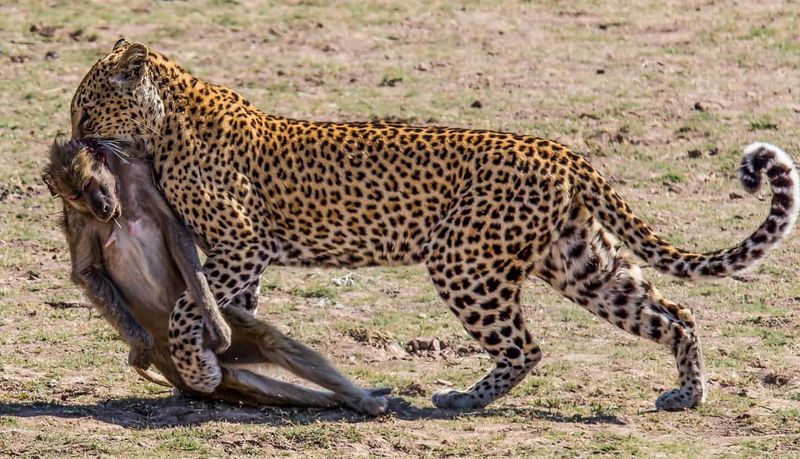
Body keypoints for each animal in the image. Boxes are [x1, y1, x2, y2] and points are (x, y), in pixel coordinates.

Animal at [43, 138, 389, 414]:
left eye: (89, 184)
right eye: (75, 195)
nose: (100, 207)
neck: (120, 205)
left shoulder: (141, 179)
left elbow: (177, 235)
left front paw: (216, 323)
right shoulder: (78, 218)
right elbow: (86, 272)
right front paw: (139, 345)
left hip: (225, 353)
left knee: (272, 344)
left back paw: (359, 399)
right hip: (193, 368)